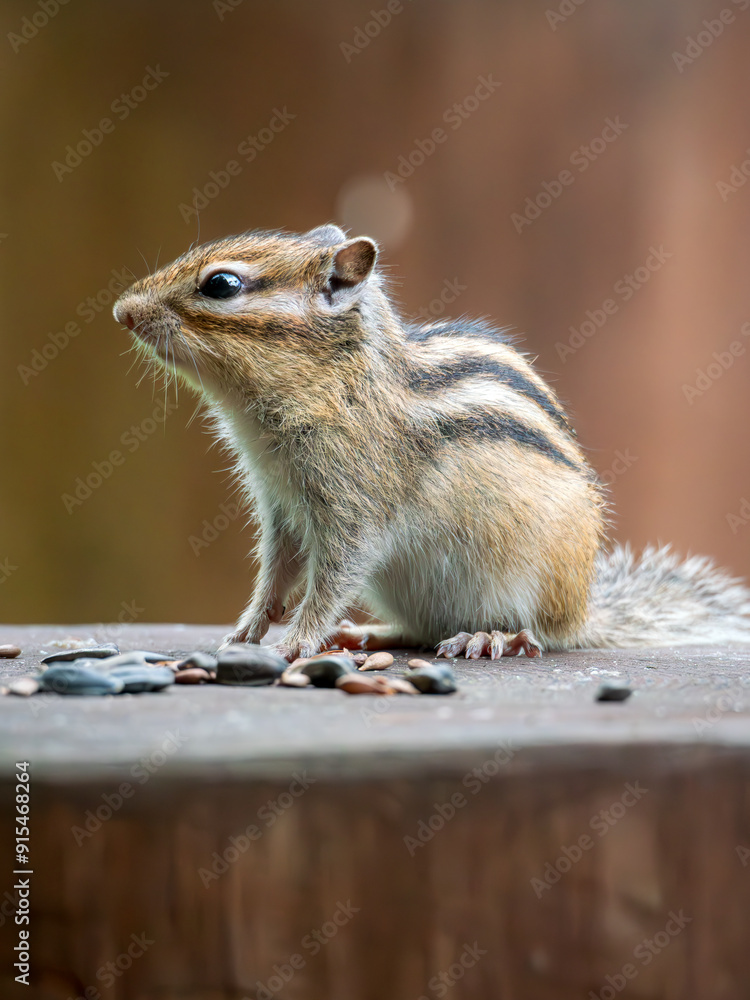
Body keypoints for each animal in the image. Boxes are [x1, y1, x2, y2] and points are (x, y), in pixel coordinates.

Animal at [113, 224, 750, 661]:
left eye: (221, 285)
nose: (122, 310)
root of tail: (585, 613)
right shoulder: (281, 507)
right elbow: (276, 570)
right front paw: (248, 628)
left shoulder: (355, 509)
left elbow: (331, 578)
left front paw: (296, 641)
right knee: (422, 631)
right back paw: (371, 633)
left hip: (530, 583)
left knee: (538, 632)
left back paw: (490, 636)